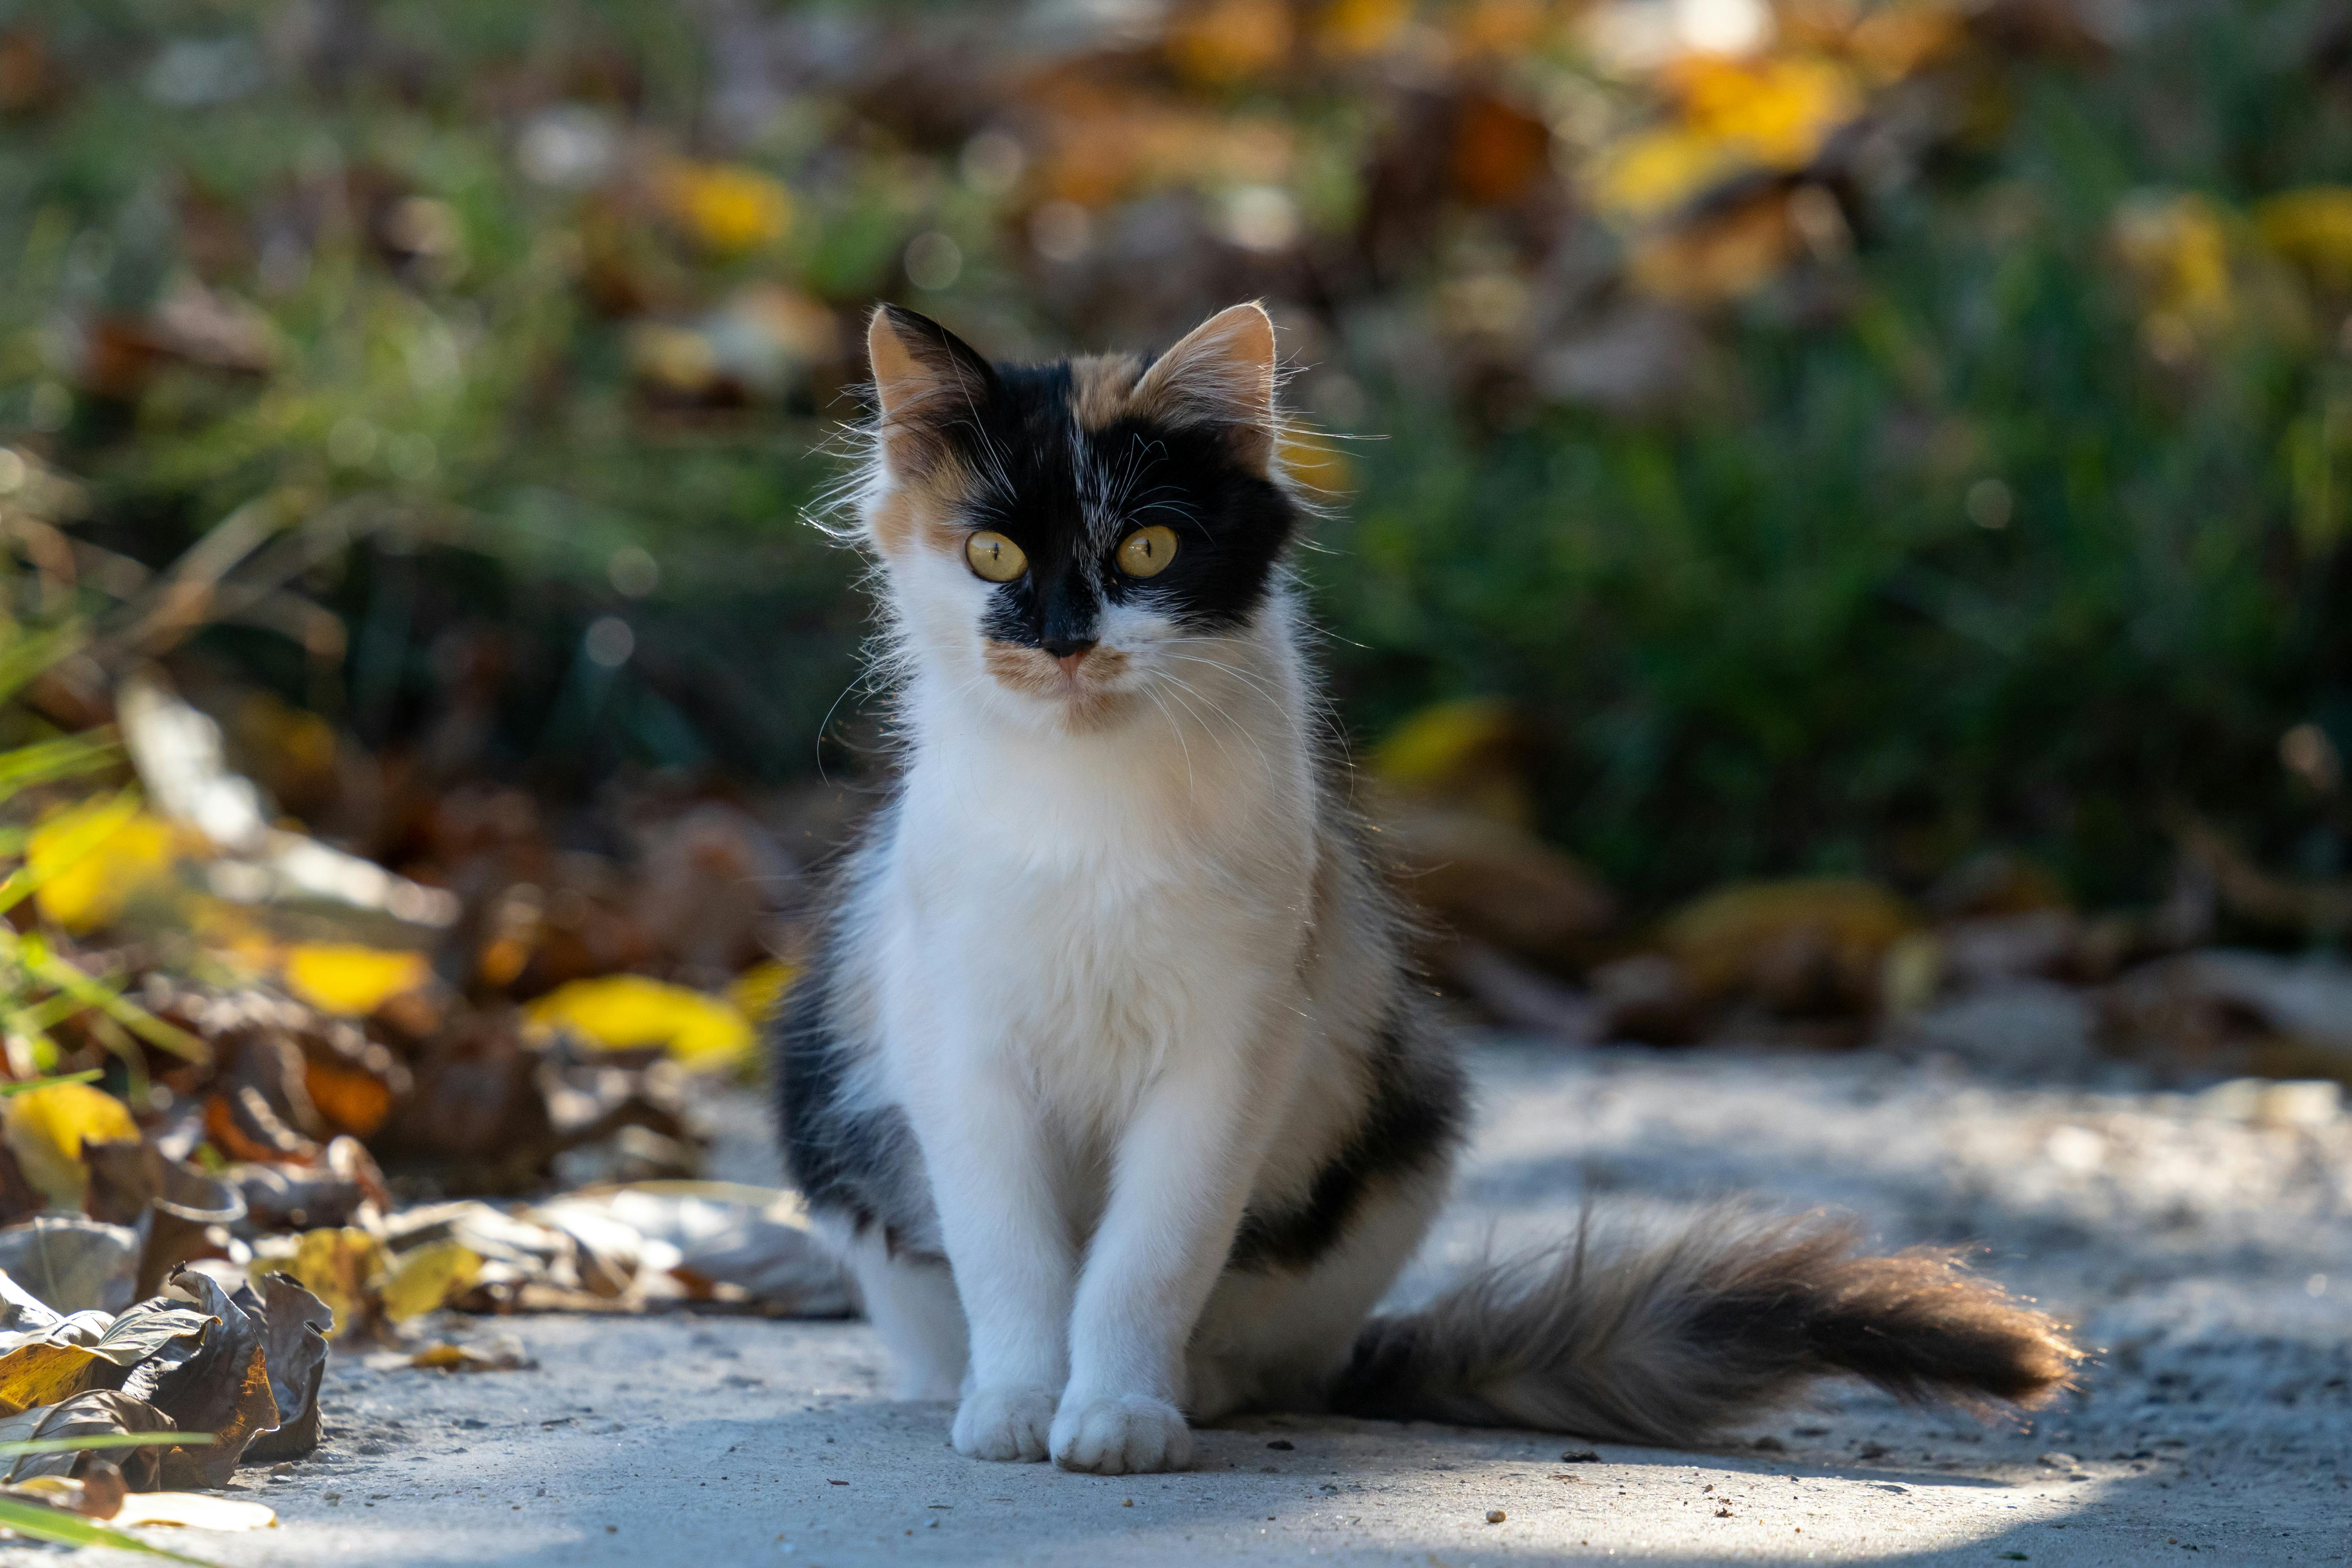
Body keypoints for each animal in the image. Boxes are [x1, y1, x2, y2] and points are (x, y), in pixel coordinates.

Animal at [776, 301, 2079, 1476]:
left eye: (1145, 550)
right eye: (990, 555)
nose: (1061, 644)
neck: (1086, 809)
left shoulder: (1232, 1051)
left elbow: (1146, 1258)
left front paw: (1117, 1412)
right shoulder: (960, 1049)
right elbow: (1012, 1260)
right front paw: (1019, 1402)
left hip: (1407, 1132)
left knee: (1273, 1347)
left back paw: (1201, 1384)